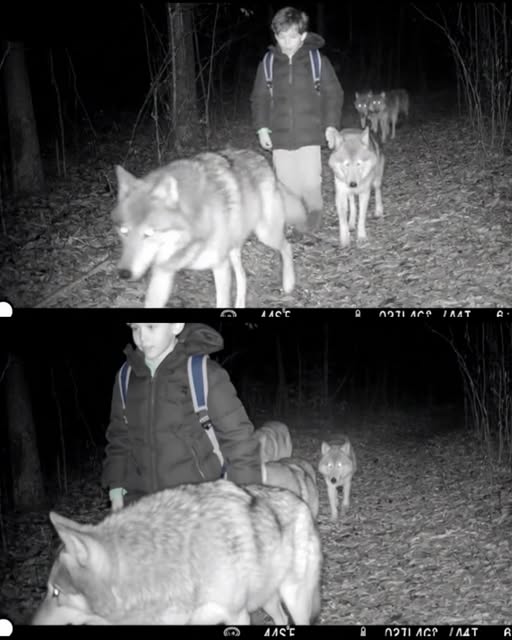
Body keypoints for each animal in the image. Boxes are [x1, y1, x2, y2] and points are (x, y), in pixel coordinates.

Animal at [32, 479, 322, 626]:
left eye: (55, 593)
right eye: (47, 591)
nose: (32, 624)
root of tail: (303, 503)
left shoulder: (236, 615)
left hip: (294, 599)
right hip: (267, 600)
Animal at [112, 148, 308, 308]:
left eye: (148, 234)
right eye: (124, 232)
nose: (123, 273)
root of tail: (261, 157)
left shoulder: (220, 266)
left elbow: (221, 302)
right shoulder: (163, 272)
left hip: (265, 235)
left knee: (287, 247)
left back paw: (288, 283)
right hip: (234, 248)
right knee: (243, 275)